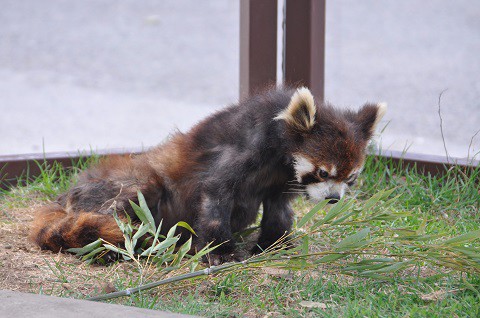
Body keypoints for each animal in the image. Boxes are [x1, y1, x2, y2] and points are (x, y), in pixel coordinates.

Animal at [29, 86, 386, 264]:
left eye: (350, 178)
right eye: (323, 172)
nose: (333, 199)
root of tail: (64, 198)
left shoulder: (279, 180)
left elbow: (278, 211)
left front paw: (275, 244)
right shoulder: (240, 150)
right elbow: (215, 196)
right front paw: (220, 252)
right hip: (128, 183)